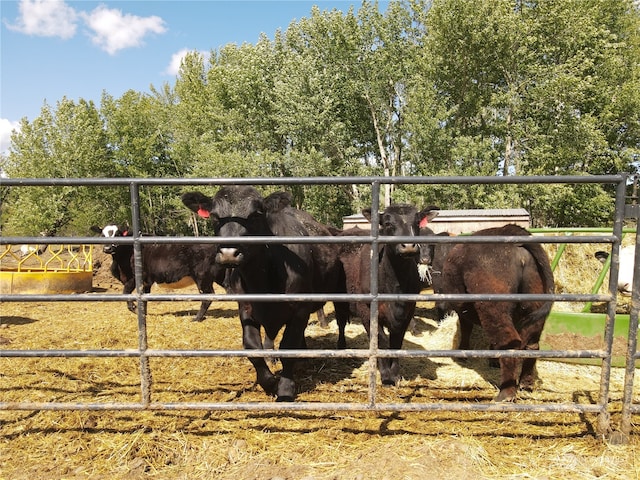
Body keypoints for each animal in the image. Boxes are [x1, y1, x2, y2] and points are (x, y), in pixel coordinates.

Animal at [90, 225, 229, 322]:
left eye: (117, 234)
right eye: (102, 234)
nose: (108, 248)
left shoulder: (135, 279)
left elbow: (126, 293)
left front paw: (133, 308)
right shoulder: (146, 282)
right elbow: (144, 299)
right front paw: (143, 313)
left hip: (202, 277)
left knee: (208, 296)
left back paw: (197, 318)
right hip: (219, 276)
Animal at [182, 188, 348, 402]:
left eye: (255, 215)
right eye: (215, 216)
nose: (229, 253)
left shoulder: (299, 308)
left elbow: (288, 346)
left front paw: (285, 389)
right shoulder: (246, 309)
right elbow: (253, 347)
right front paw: (269, 383)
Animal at [338, 204, 438, 384]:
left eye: (417, 223)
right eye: (387, 223)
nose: (409, 246)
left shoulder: (407, 311)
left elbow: (396, 342)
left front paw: (395, 373)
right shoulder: (367, 310)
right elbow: (381, 341)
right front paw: (385, 374)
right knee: (341, 322)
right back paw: (341, 346)